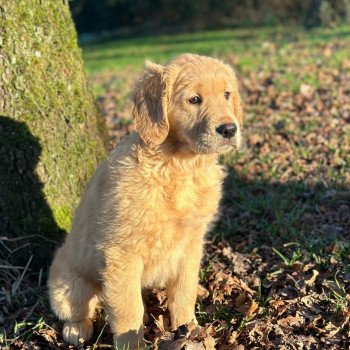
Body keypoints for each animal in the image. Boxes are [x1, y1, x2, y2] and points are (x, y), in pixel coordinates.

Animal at [47, 53, 243, 348]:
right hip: (67, 281)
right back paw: (76, 329)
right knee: (78, 308)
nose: (230, 129)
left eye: (227, 94)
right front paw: (133, 343)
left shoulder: (191, 243)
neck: (179, 166)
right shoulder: (122, 252)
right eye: (194, 99)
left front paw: (190, 329)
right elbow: (129, 308)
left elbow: (183, 291)